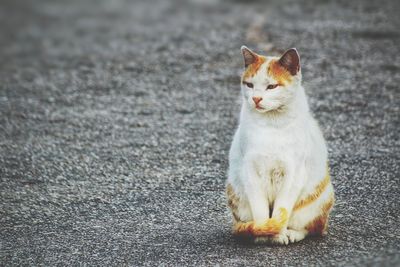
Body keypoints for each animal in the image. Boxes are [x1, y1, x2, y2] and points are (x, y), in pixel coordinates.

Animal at [225, 45, 334, 245]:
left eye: (272, 86)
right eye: (249, 85)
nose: (256, 98)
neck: (271, 125)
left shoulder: (293, 173)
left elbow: (281, 209)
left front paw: (277, 235)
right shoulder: (250, 171)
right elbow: (260, 211)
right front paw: (262, 233)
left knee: (312, 228)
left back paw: (292, 233)